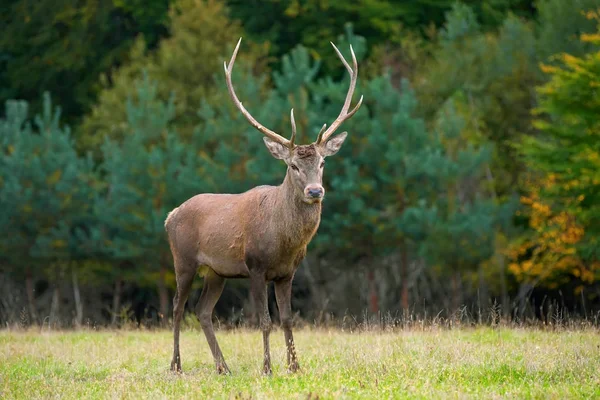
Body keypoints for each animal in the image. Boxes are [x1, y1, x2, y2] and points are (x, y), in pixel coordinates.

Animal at [163, 37, 360, 376]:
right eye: (293, 165)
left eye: (322, 162)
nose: (315, 190)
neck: (284, 242)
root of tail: (170, 215)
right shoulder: (255, 266)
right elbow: (264, 321)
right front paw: (267, 367)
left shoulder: (287, 273)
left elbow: (288, 319)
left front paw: (295, 366)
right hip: (183, 259)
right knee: (177, 308)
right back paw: (176, 365)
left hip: (216, 271)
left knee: (202, 311)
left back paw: (223, 367)